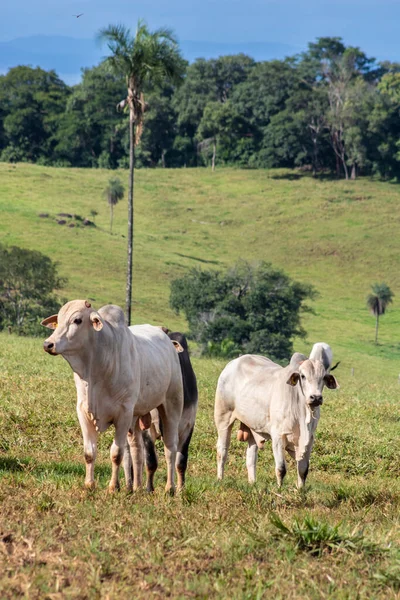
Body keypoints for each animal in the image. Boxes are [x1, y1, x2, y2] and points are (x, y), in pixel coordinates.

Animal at [41, 298, 183, 492]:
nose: (48, 344)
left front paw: (113, 487)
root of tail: (168, 342)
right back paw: (135, 488)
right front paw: (89, 484)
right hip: (136, 417)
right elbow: (89, 453)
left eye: (77, 320)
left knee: (170, 447)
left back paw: (170, 488)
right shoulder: (83, 412)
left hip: (171, 405)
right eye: (59, 319)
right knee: (137, 448)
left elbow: (117, 453)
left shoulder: (123, 414)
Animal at [214, 352, 340, 488]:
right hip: (223, 417)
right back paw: (220, 479)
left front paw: (301, 490)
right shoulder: (278, 436)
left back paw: (252, 482)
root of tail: (234, 362)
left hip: (253, 426)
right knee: (222, 450)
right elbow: (281, 469)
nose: (316, 397)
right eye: (303, 376)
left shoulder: (309, 439)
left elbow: (303, 470)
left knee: (251, 457)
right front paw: (279, 489)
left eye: (323, 377)